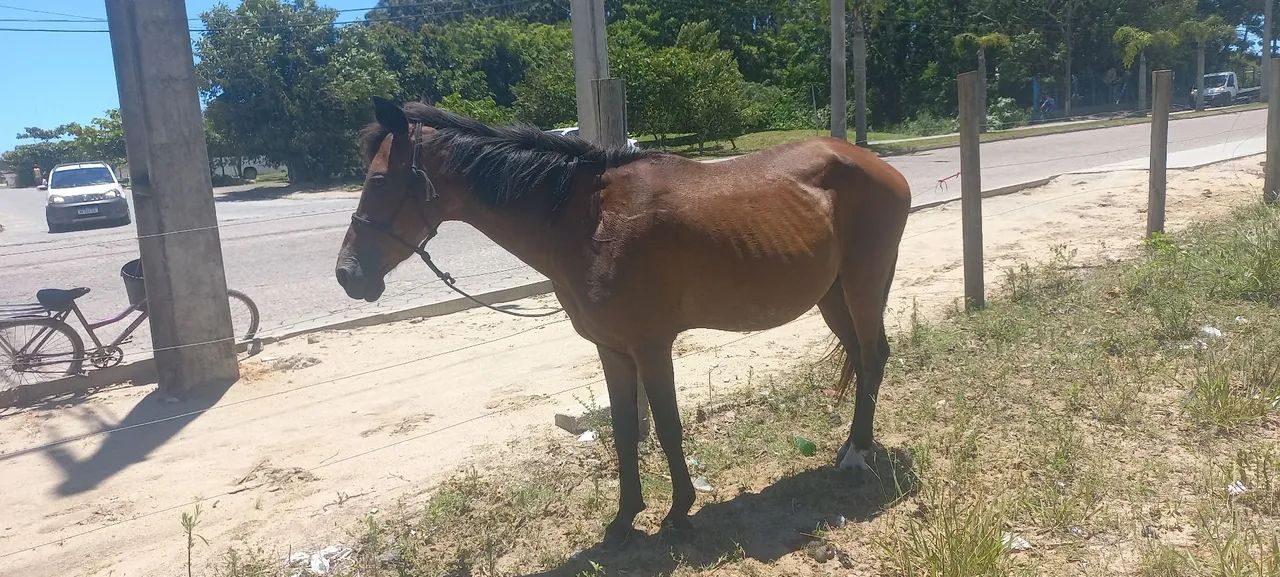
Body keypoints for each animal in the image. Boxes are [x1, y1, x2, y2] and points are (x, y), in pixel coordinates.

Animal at [335, 97, 911, 546]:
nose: (347, 275)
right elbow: (624, 430)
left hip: (861, 287)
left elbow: (668, 428)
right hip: (832, 297)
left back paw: (858, 455)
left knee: (874, 356)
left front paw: (679, 511)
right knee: (860, 357)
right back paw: (849, 447)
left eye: (379, 180)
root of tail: (879, 164)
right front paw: (624, 518)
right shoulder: (611, 349)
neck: (592, 225)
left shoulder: (651, 346)